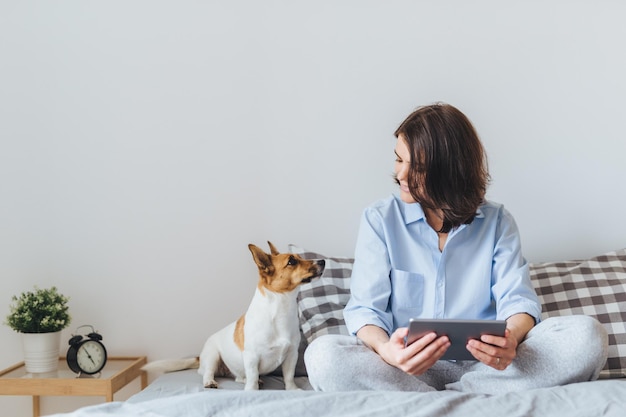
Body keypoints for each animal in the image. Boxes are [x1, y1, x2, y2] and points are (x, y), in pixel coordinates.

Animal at [142, 242, 324, 388]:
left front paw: (292, 389)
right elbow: (252, 378)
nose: (322, 261)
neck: (281, 308)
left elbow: (289, 377)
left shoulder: (292, 355)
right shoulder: (252, 357)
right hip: (212, 356)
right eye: (292, 261)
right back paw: (210, 382)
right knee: (209, 372)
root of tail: (200, 357)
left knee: (238, 377)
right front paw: (252, 390)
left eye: (299, 257)